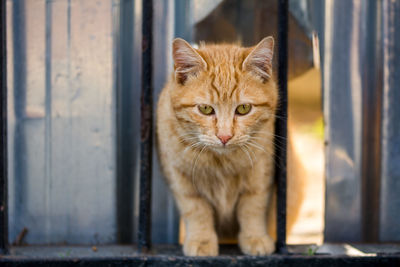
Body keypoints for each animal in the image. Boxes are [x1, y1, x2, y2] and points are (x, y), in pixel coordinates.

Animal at [156, 36, 304, 256]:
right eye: (205, 109)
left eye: (243, 109)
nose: (224, 136)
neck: (221, 163)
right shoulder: (181, 180)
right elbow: (197, 211)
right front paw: (201, 241)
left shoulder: (260, 176)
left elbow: (252, 208)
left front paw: (255, 237)